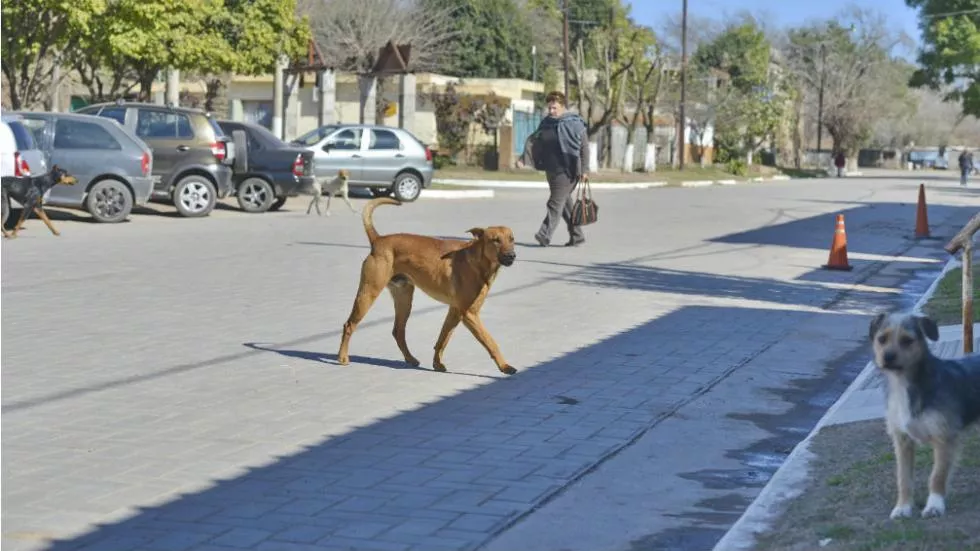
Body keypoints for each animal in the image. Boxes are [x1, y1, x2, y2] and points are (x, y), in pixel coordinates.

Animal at [868, 312, 976, 520]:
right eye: (882, 339)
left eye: (907, 340)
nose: (888, 356)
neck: (905, 385)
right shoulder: (902, 441)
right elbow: (903, 478)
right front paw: (903, 507)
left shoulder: (944, 437)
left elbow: (937, 475)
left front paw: (934, 505)